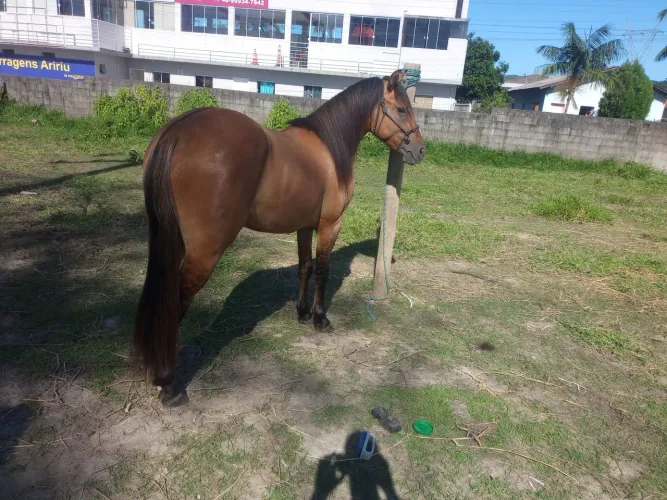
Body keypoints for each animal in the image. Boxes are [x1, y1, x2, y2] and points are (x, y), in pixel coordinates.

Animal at [134, 69, 425, 406]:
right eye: (402, 109)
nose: (420, 150)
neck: (328, 148)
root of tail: (178, 130)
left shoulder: (304, 226)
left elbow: (304, 267)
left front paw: (302, 313)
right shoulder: (330, 225)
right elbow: (323, 270)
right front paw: (320, 319)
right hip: (204, 252)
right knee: (177, 301)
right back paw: (168, 385)